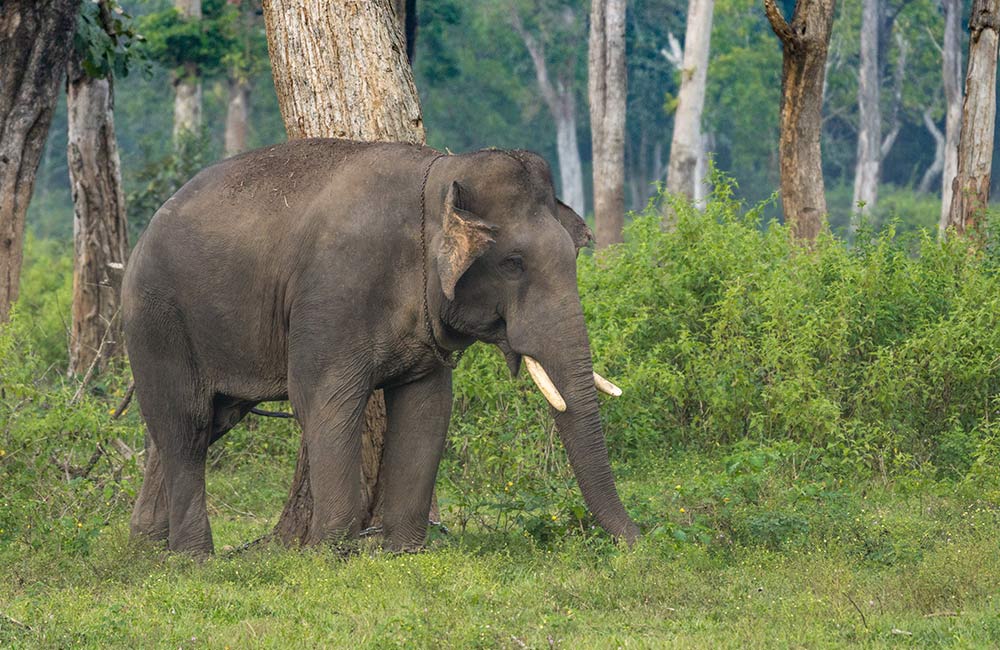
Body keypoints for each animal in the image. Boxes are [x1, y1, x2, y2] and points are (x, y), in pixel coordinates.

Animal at [125, 138, 640, 552]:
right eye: (513, 263)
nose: (641, 539)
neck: (439, 176)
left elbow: (427, 407)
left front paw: (402, 552)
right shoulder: (333, 294)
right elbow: (324, 401)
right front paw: (327, 554)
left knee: (199, 425)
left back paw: (147, 546)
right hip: (158, 321)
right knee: (186, 425)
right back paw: (193, 558)